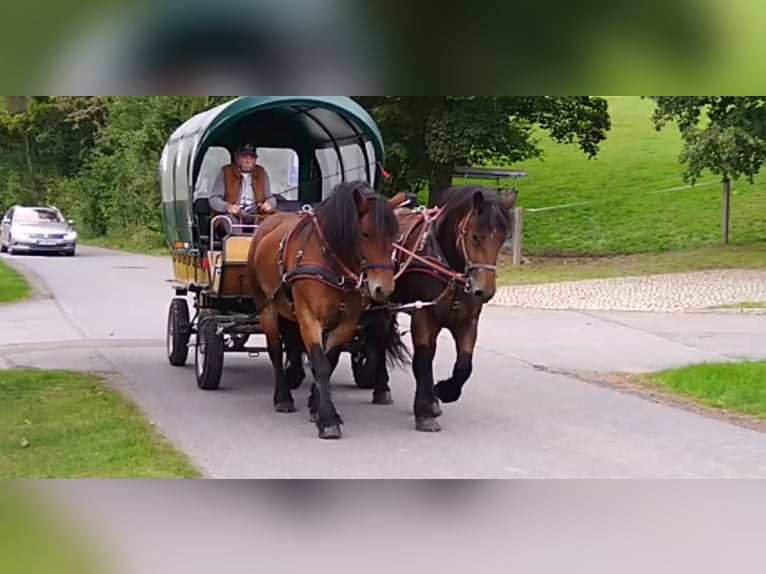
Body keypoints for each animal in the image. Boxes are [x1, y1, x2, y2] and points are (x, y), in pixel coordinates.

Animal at [249, 182, 412, 444]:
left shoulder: (346, 322)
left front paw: (316, 406)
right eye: (365, 234)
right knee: (275, 349)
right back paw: (282, 397)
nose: (383, 288)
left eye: (395, 238)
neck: (334, 265)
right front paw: (328, 420)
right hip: (266, 306)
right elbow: (321, 364)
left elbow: (329, 360)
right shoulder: (309, 318)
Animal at [362, 187, 520, 434]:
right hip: (383, 305)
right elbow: (422, 362)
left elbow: (464, 365)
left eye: (503, 238)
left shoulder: (467, 321)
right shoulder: (423, 318)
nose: (485, 291)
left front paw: (443, 392)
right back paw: (382, 389)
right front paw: (424, 412)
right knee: (380, 343)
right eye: (476, 237)